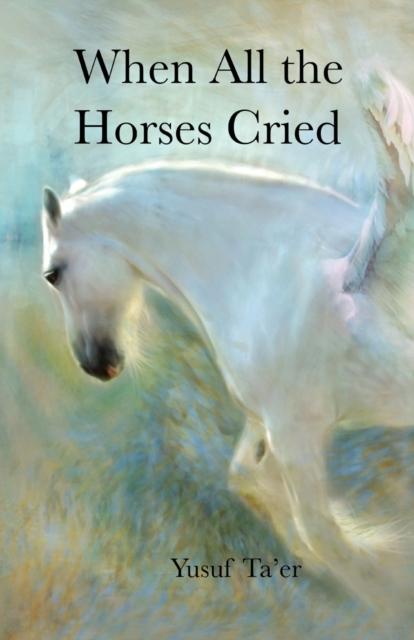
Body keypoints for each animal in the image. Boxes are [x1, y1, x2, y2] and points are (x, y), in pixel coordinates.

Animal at [41, 68, 414, 607]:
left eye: (52, 273)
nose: (96, 364)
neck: (264, 265)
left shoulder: (296, 430)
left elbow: (324, 531)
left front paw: (380, 581)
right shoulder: (270, 421)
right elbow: (246, 478)